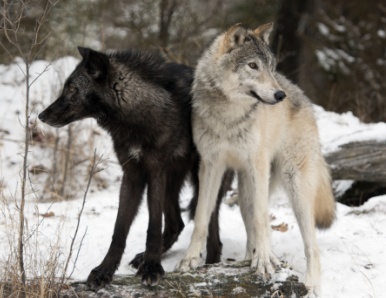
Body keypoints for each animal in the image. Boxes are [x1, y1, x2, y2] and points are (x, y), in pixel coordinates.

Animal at [39, 47, 234, 288]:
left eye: (72, 89)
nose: (41, 116)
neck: (135, 116)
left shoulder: (155, 171)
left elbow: (153, 225)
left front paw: (151, 268)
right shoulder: (132, 174)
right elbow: (119, 229)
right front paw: (104, 270)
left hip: (203, 180)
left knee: (211, 232)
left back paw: (210, 265)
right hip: (172, 181)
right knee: (176, 224)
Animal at [176, 22, 336, 296]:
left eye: (271, 67)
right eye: (253, 66)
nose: (279, 95)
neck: (229, 116)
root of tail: (301, 94)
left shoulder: (257, 165)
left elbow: (262, 219)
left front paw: (264, 262)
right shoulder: (210, 166)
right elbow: (201, 217)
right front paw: (190, 259)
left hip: (294, 186)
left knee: (310, 244)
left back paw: (310, 284)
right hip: (243, 191)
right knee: (250, 225)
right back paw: (247, 259)